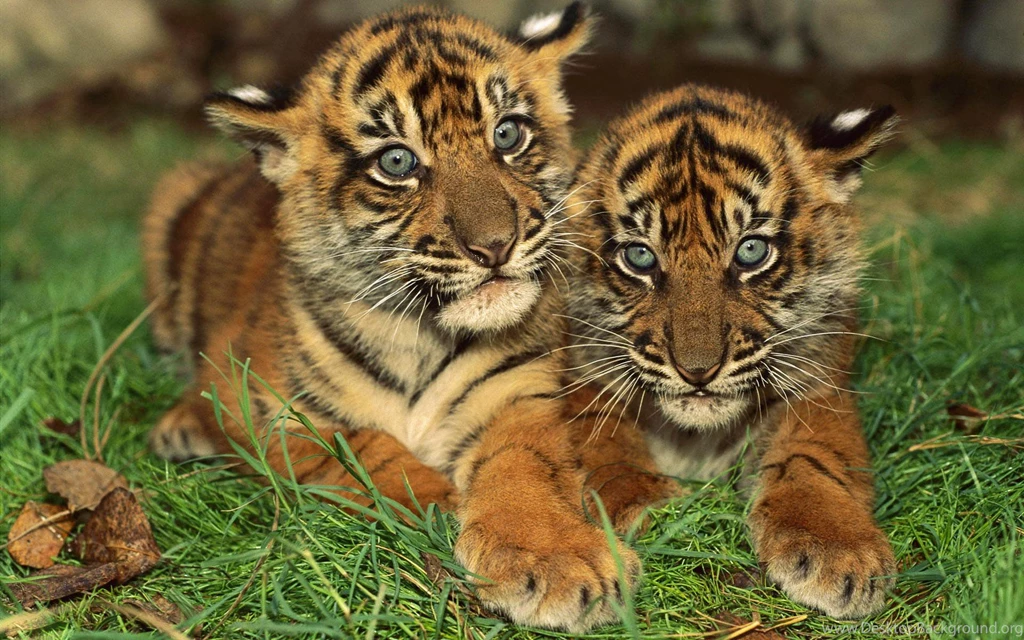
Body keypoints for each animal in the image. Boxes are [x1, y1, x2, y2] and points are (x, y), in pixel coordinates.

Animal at [142, 4, 644, 632]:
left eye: (507, 134)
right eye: (397, 161)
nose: (495, 246)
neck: (419, 335)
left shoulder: (519, 394)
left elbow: (524, 467)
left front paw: (555, 557)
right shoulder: (262, 401)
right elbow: (361, 447)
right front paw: (437, 502)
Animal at [562, 84, 900, 618]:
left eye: (751, 251)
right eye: (639, 256)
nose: (698, 372)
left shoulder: (819, 387)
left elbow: (813, 457)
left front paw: (838, 548)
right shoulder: (583, 383)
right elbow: (610, 452)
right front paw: (654, 510)